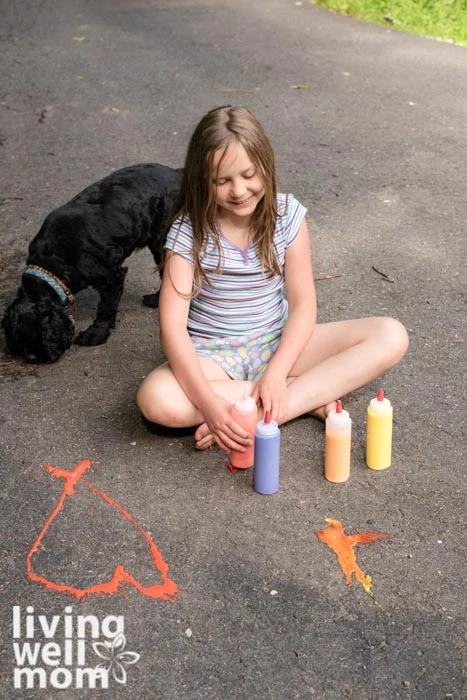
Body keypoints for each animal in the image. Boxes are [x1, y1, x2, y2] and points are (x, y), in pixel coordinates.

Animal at [2, 162, 183, 364]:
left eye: (41, 335)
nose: (34, 359)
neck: (52, 259)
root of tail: (176, 173)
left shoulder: (111, 276)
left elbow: (105, 307)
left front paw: (95, 334)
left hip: (162, 239)